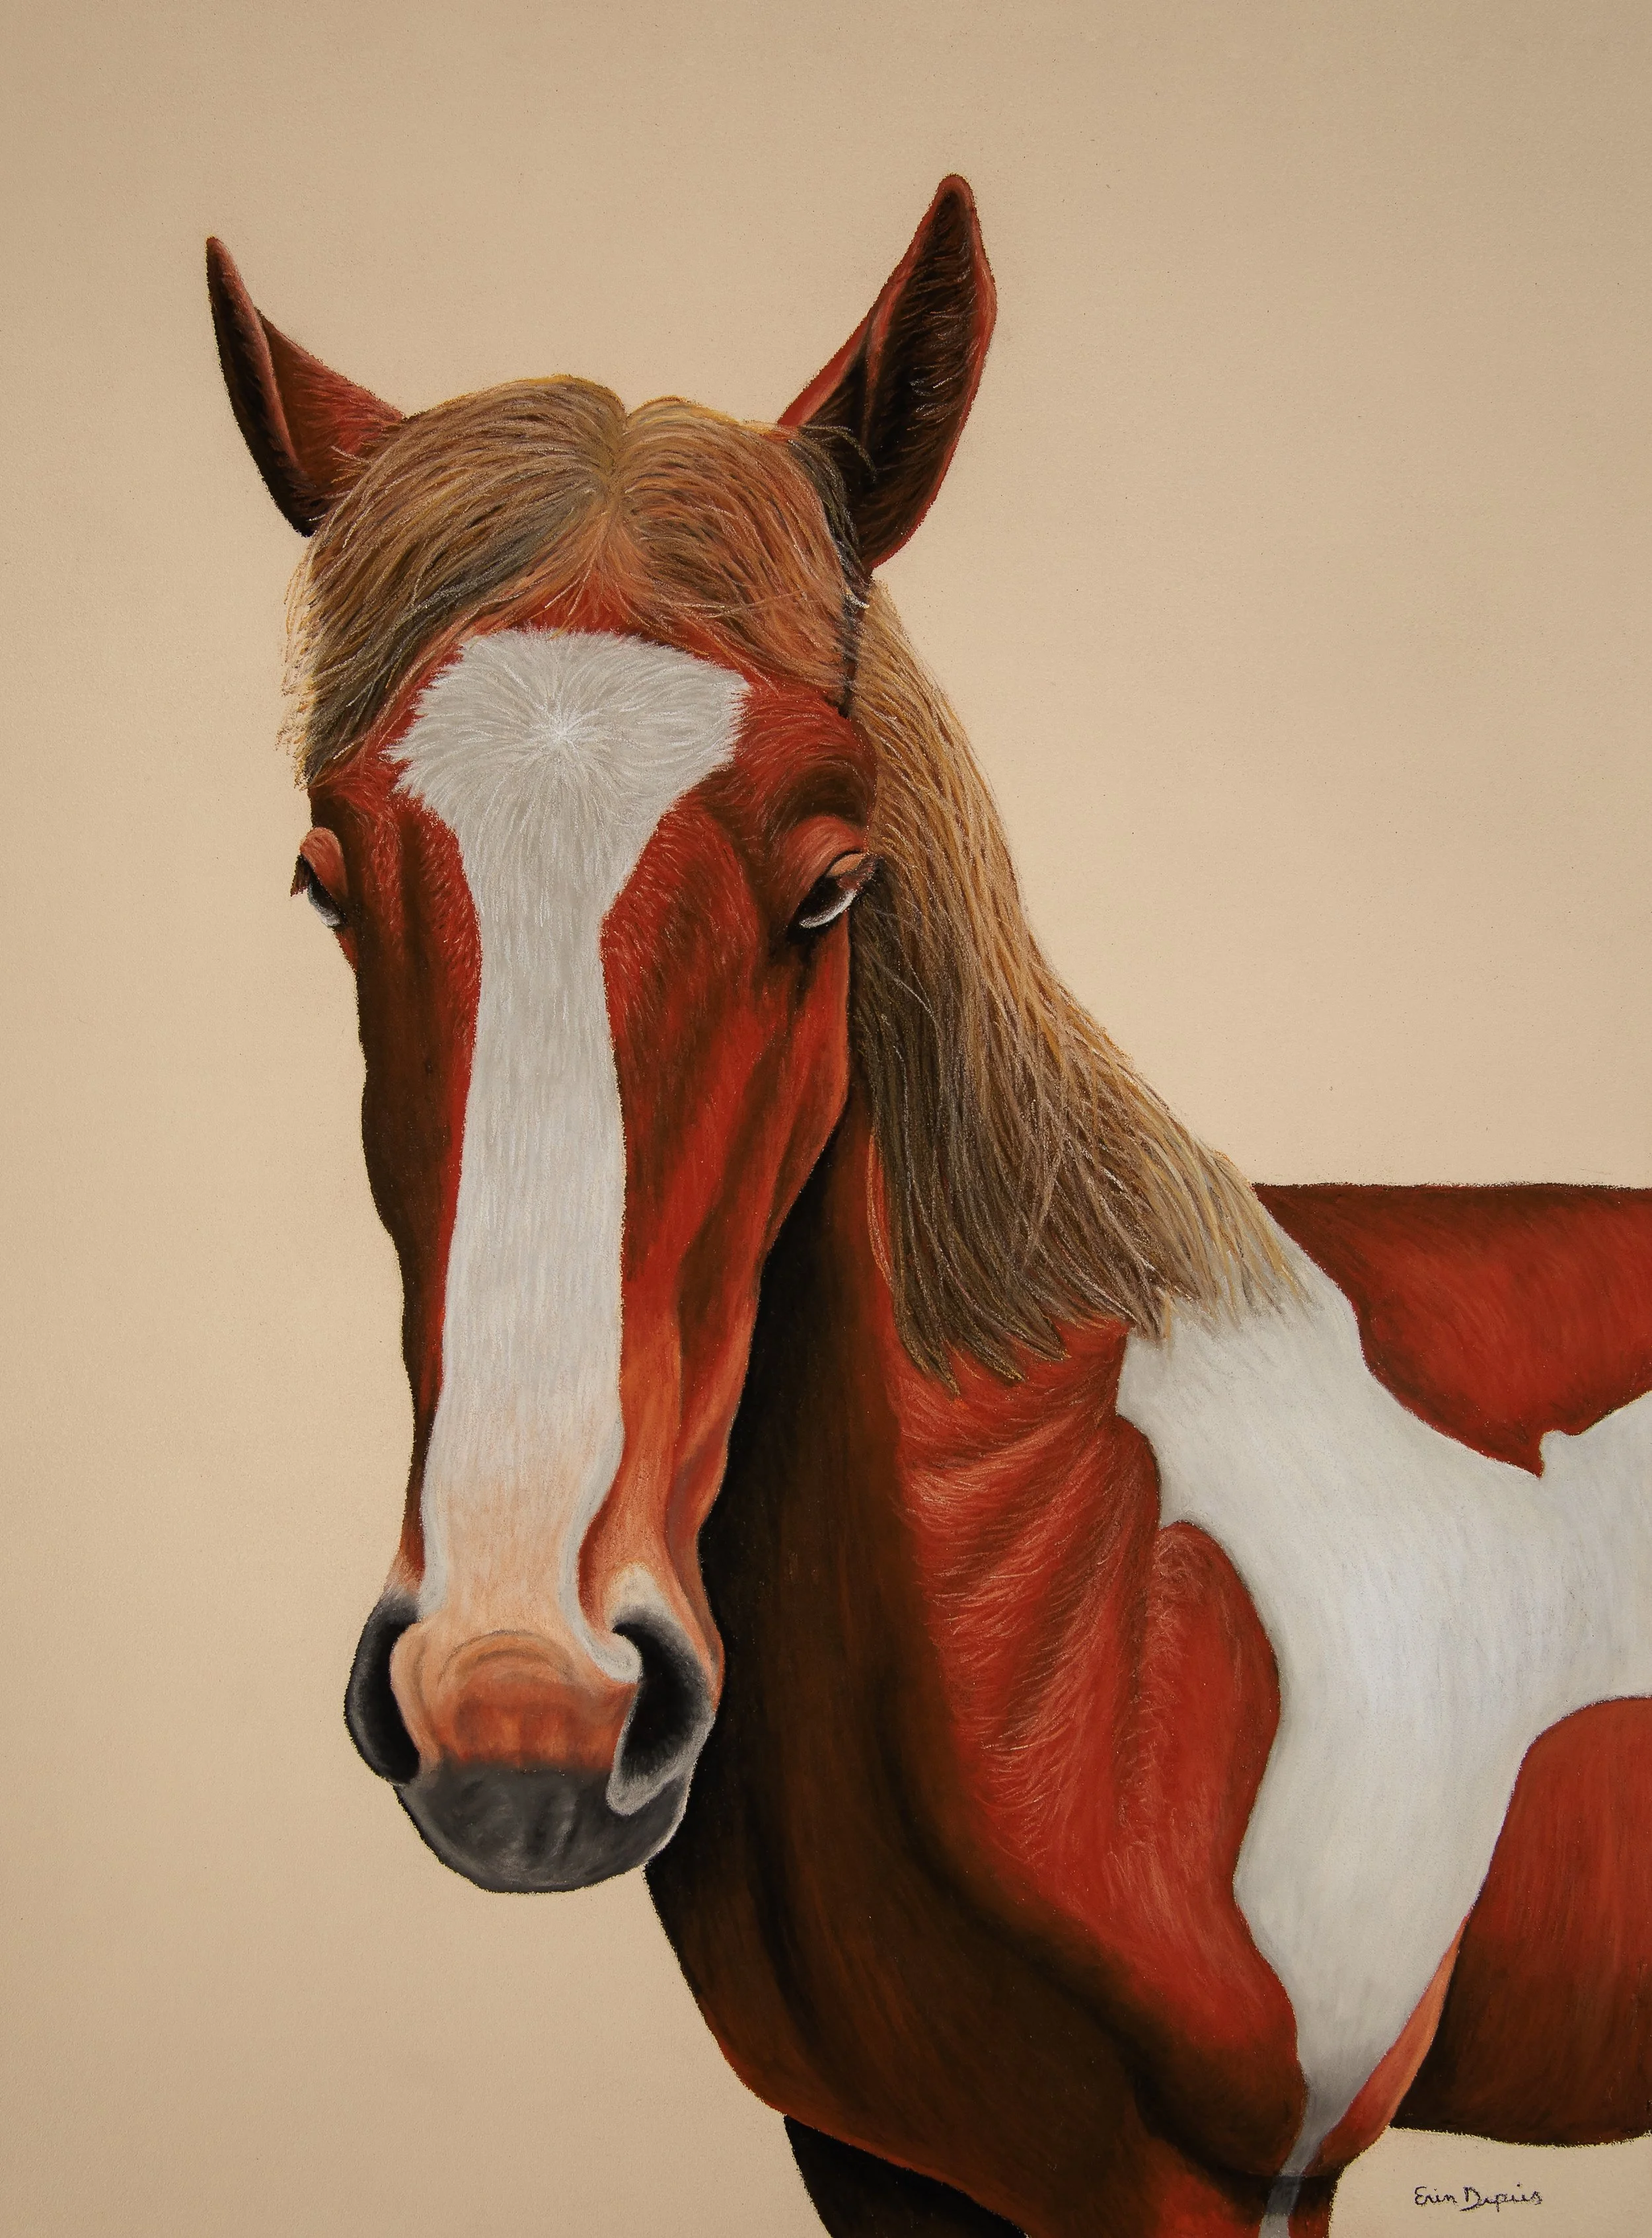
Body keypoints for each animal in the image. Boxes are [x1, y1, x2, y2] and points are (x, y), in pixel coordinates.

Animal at [209, 179, 1652, 2238]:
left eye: (832, 879)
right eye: (329, 876)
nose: (522, 1715)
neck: (1098, 1582)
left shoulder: (1232, 2177)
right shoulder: (886, 2160)